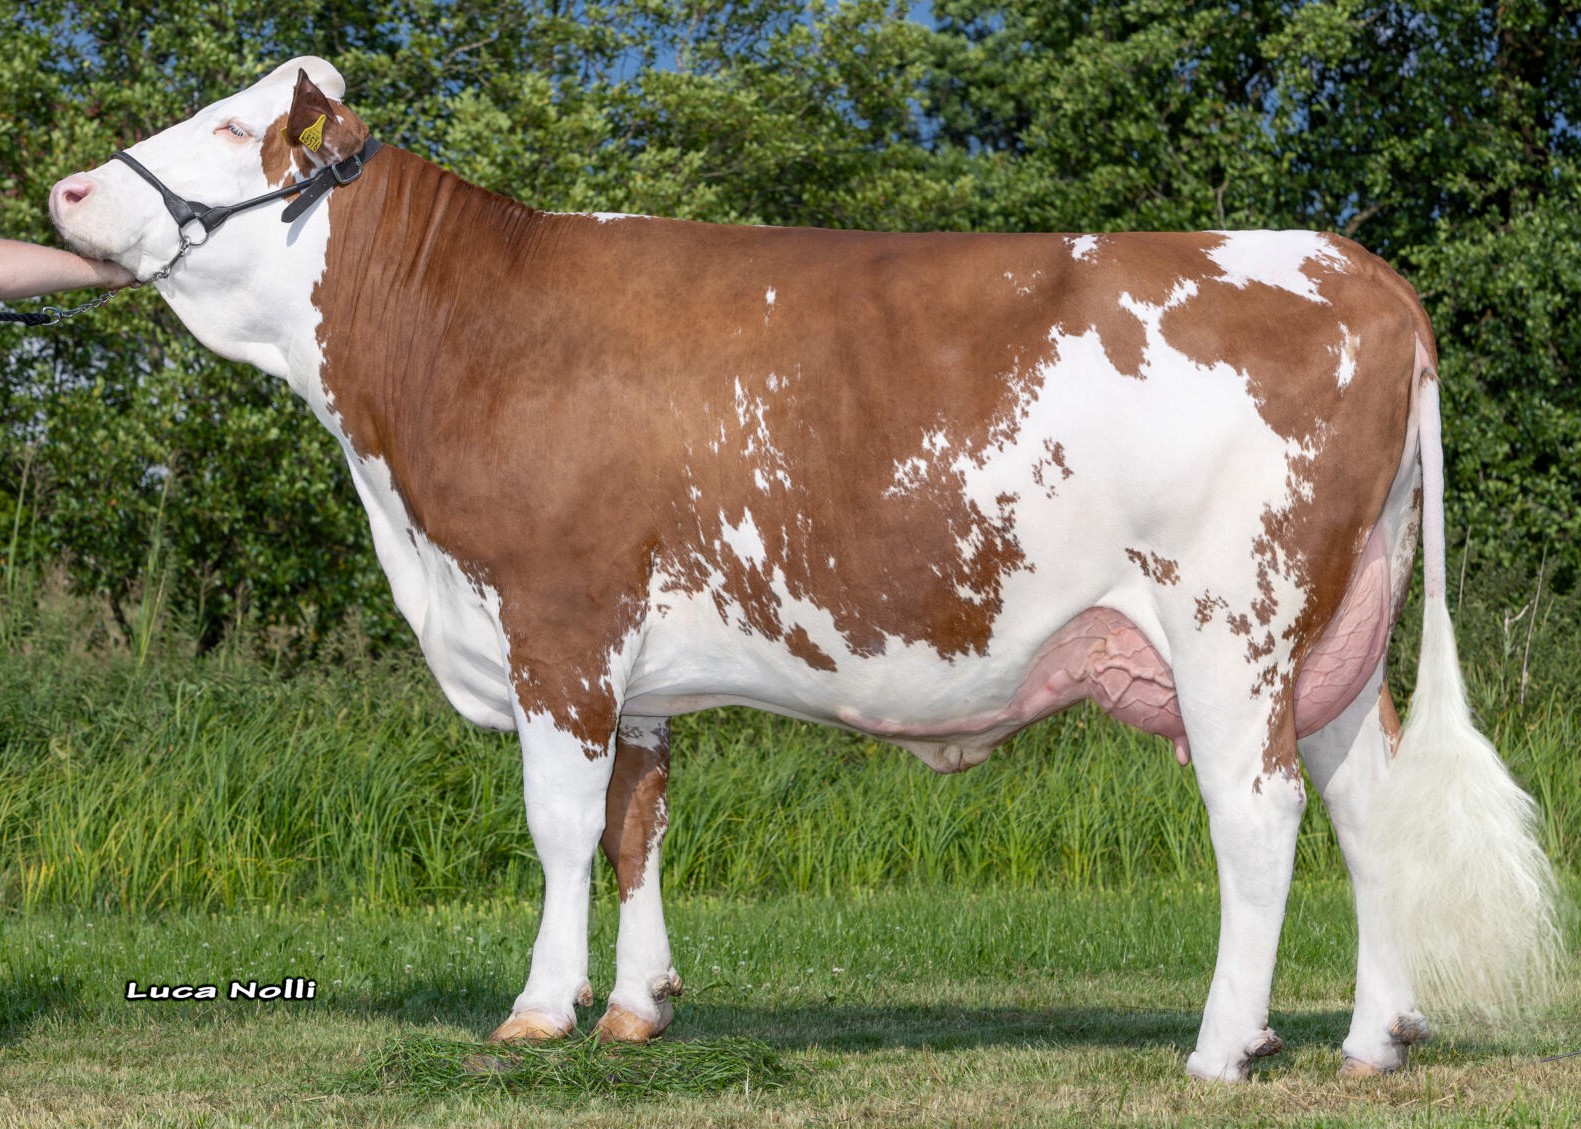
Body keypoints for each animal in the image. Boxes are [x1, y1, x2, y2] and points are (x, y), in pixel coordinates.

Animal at [49, 57, 1561, 1081]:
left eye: (228, 126)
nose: (65, 186)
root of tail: (1349, 261)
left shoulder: (557, 623)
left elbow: (557, 825)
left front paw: (539, 1007)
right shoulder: (637, 668)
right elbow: (637, 827)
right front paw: (635, 1006)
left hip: (1230, 625)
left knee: (1260, 817)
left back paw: (1221, 1045)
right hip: (1338, 636)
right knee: (1366, 808)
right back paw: (1373, 1036)